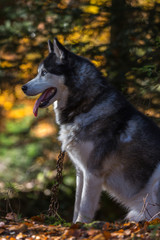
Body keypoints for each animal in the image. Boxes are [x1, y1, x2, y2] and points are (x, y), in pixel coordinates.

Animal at [21, 38, 160, 223]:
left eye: (44, 73)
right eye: (38, 72)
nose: (23, 87)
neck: (86, 107)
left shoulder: (93, 173)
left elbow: (85, 208)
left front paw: (81, 226)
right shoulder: (81, 172)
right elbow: (77, 206)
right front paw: (74, 226)